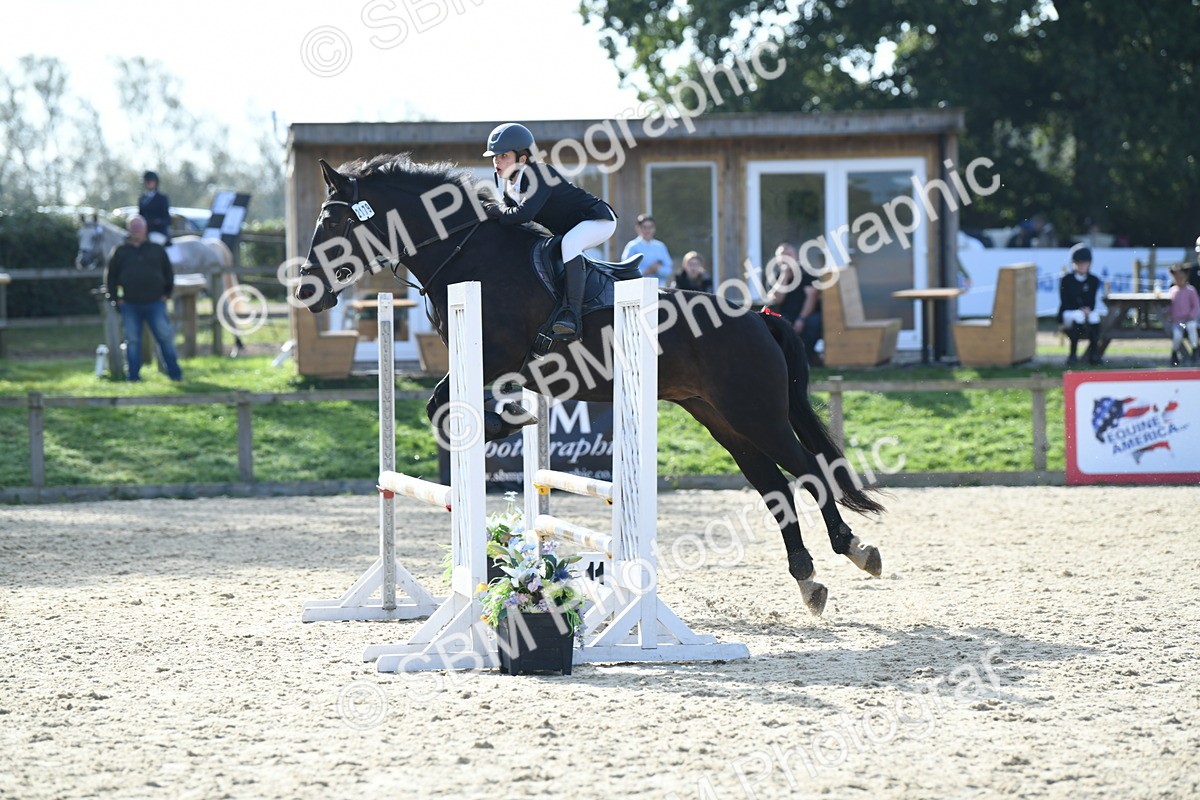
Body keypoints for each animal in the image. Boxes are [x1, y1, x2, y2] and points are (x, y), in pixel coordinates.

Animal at [295, 154, 886, 615]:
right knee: (775, 487)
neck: (465, 253)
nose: (305, 291)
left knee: (810, 472)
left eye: (333, 221)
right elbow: (443, 407)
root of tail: (760, 317)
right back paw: (808, 578)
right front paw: (510, 419)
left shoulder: (496, 357)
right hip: (723, 421)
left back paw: (855, 549)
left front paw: (507, 420)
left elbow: (442, 404)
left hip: (756, 414)